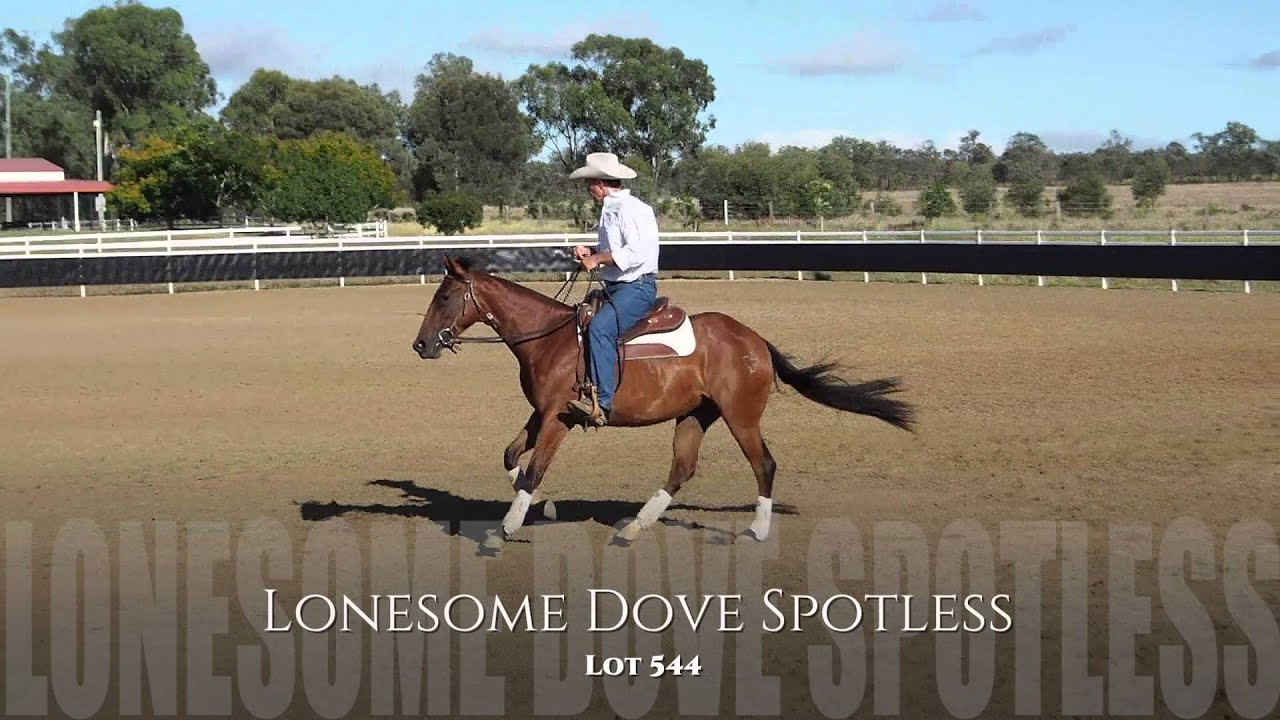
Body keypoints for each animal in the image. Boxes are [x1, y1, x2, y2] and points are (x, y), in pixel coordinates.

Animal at [411, 255, 915, 547]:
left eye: (445, 296)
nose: (421, 345)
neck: (550, 340)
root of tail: (755, 341)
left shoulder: (559, 417)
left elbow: (534, 469)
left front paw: (508, 527)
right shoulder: (543, 412)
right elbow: (511, 455)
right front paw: (542, 506)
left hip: (741, 416)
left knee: (764, 464)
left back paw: (757, 529)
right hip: (695, 415)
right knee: (682, 468)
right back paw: (636, 525)